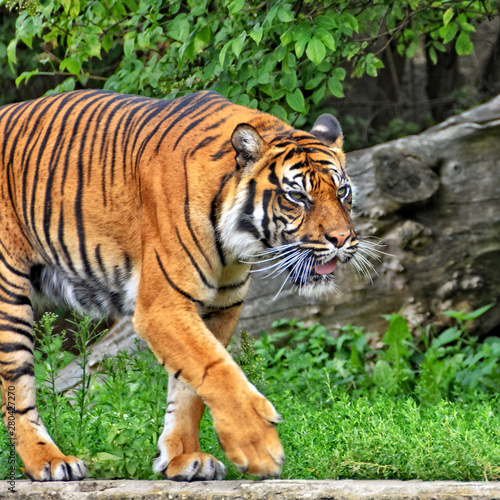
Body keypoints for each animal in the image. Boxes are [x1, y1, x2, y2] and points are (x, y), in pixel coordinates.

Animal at [0, 90, 360, 480]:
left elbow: (191, 388)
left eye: (342, 191)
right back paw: (49, 461)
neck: (232, 245)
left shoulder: (220, 307)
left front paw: (185, 458)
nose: (342, 239)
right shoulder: (164, 306)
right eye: (297, 197)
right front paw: (257, 445)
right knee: (17, 390)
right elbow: (217, 371)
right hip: (10, 298)